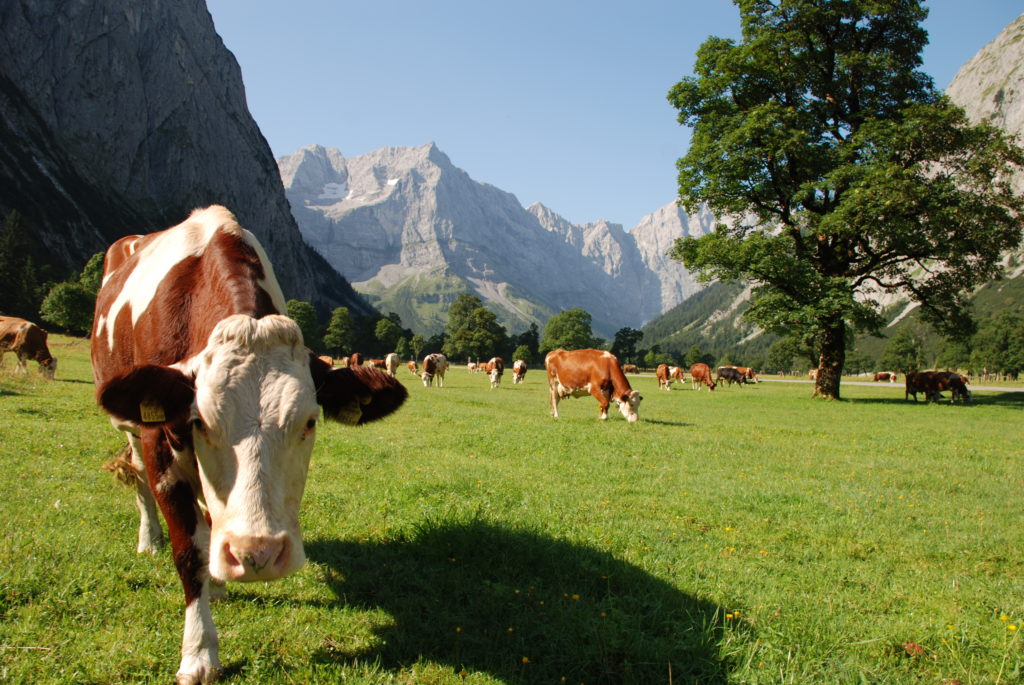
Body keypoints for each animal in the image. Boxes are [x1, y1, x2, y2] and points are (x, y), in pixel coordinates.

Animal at [89, 206, 407, 683]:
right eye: (200, 421)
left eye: (309, 421)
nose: (258, 554)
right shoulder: (157, 439)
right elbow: (187, 552)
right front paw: (199, 652)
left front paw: (217, 580)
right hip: (127, 426)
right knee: (140, 479)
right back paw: (151, 539)